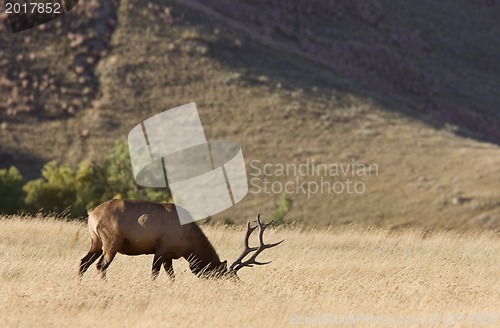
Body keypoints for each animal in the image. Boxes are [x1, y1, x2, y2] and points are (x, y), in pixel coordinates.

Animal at [77, 200, 282, 280]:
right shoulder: (161, 249)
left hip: (95, 242)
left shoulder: (169, 255)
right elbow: (154, 274)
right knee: (100, 265)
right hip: (111, 242)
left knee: (83, 262)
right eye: (228, 276)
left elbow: (171, 277)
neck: (189, 245)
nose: (239, 284)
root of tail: (91, 214)